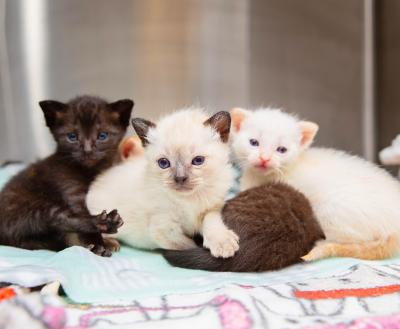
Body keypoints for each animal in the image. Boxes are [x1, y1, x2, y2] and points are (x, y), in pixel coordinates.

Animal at [0, 95, 134, 256]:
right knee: (63, 220)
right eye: (72, 137)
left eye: (102, 136)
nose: (87, 151)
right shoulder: (71, 192)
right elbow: (79, 214)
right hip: (37, 208)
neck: (89, 171)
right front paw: (97, 244)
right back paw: (106, 223)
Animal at [86, 109, 239, 258]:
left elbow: (212, 222)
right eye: (164, 163)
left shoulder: (211, 209)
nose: (180, 178)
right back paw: (110, 244)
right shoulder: (165, 230)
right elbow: (189, 246)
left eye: (198, 160)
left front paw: (223, 244)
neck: (189, 200)